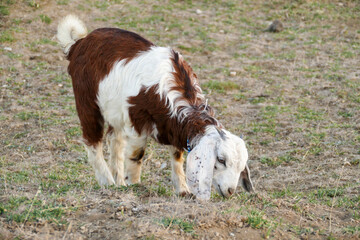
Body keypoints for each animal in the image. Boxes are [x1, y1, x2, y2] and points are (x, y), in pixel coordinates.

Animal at [56, 14, 253, 200]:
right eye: (221, 159)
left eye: (241, 166)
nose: (230, 191)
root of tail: (79, 43)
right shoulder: (137, 120)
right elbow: (137, 154)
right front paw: (135, 184)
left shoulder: (175, 128)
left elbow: (177, 157)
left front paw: (183, 190)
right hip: (87, 101)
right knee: (93, 142)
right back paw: (107, 181)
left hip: (114, 110)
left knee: (115, 141)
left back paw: (118, 182)